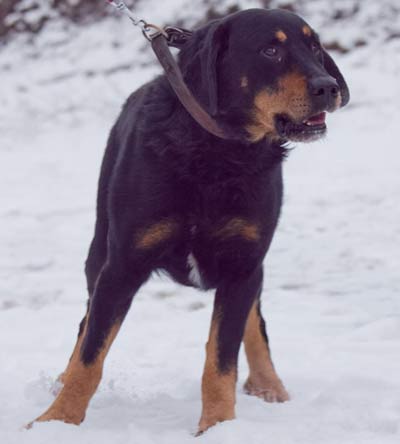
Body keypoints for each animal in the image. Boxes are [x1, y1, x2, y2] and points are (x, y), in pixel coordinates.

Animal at [33, 8, 349, 434]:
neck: (217, 154)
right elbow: (90, 354)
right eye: (270, 50)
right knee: (85, 325)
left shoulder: (243, 263)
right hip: (98, 251)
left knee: (254, 322)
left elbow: (222, 359)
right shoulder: (122, 264)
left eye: (315, 47)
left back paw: (269, 385)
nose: (328, 87)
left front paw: (218, 426)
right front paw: (57, 420)